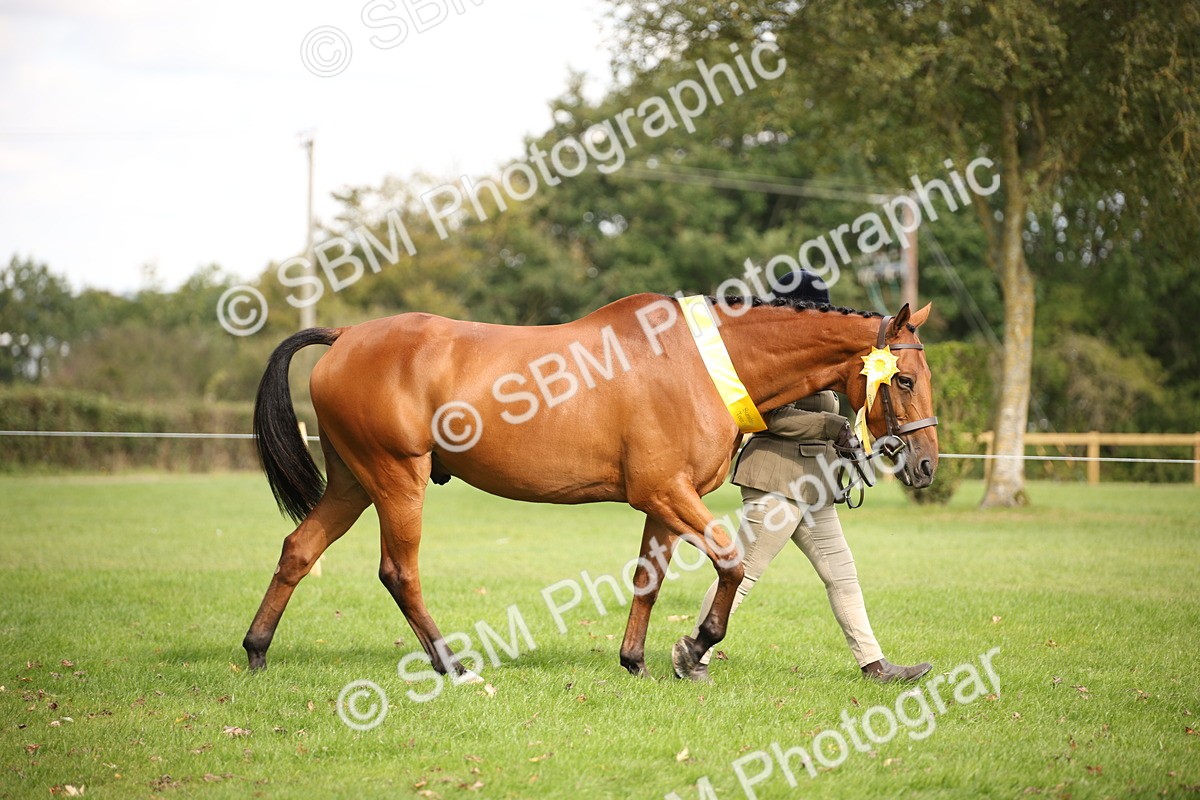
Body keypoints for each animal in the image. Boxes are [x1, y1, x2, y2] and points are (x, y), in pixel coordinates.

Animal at [242, 293, 938, 681]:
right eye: (903, 380)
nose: (927, 464)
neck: (699, 364)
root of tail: (346, 336)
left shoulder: (664, 501)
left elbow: (649, 579)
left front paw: (636, 660)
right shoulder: (665, 492)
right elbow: (732, 562)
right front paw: (695, 647)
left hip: (353, 482)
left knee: (299, 549)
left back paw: (256, 650)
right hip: (396, 477)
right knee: (398, 571)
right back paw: (450, 664)